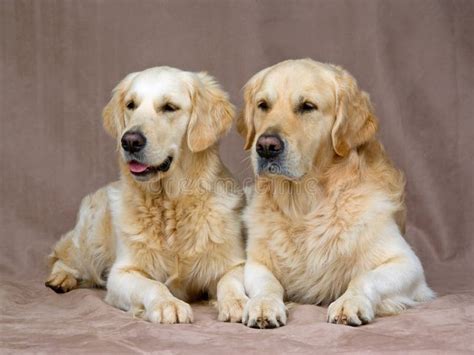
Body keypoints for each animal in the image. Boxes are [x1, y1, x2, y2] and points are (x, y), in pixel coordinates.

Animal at [45, 67, 248, 326]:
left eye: (169, 107)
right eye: (131, 105)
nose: (129, 140)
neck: (170, 204)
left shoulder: (234, 263)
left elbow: (228, 281)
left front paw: (238, 302)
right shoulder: (122, 273)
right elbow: (152, 285)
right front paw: (169, 304)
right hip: (90, 243)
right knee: (63, 257)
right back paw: (61, 278)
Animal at [237, 58, 434, 328]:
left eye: (307, 107)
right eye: (263, 105)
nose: (266, 146)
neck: (305, 206)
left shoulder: (407, 263)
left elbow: (364, 278)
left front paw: (349, 302)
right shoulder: (255, 263)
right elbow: (268, 284)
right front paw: (264, 304)